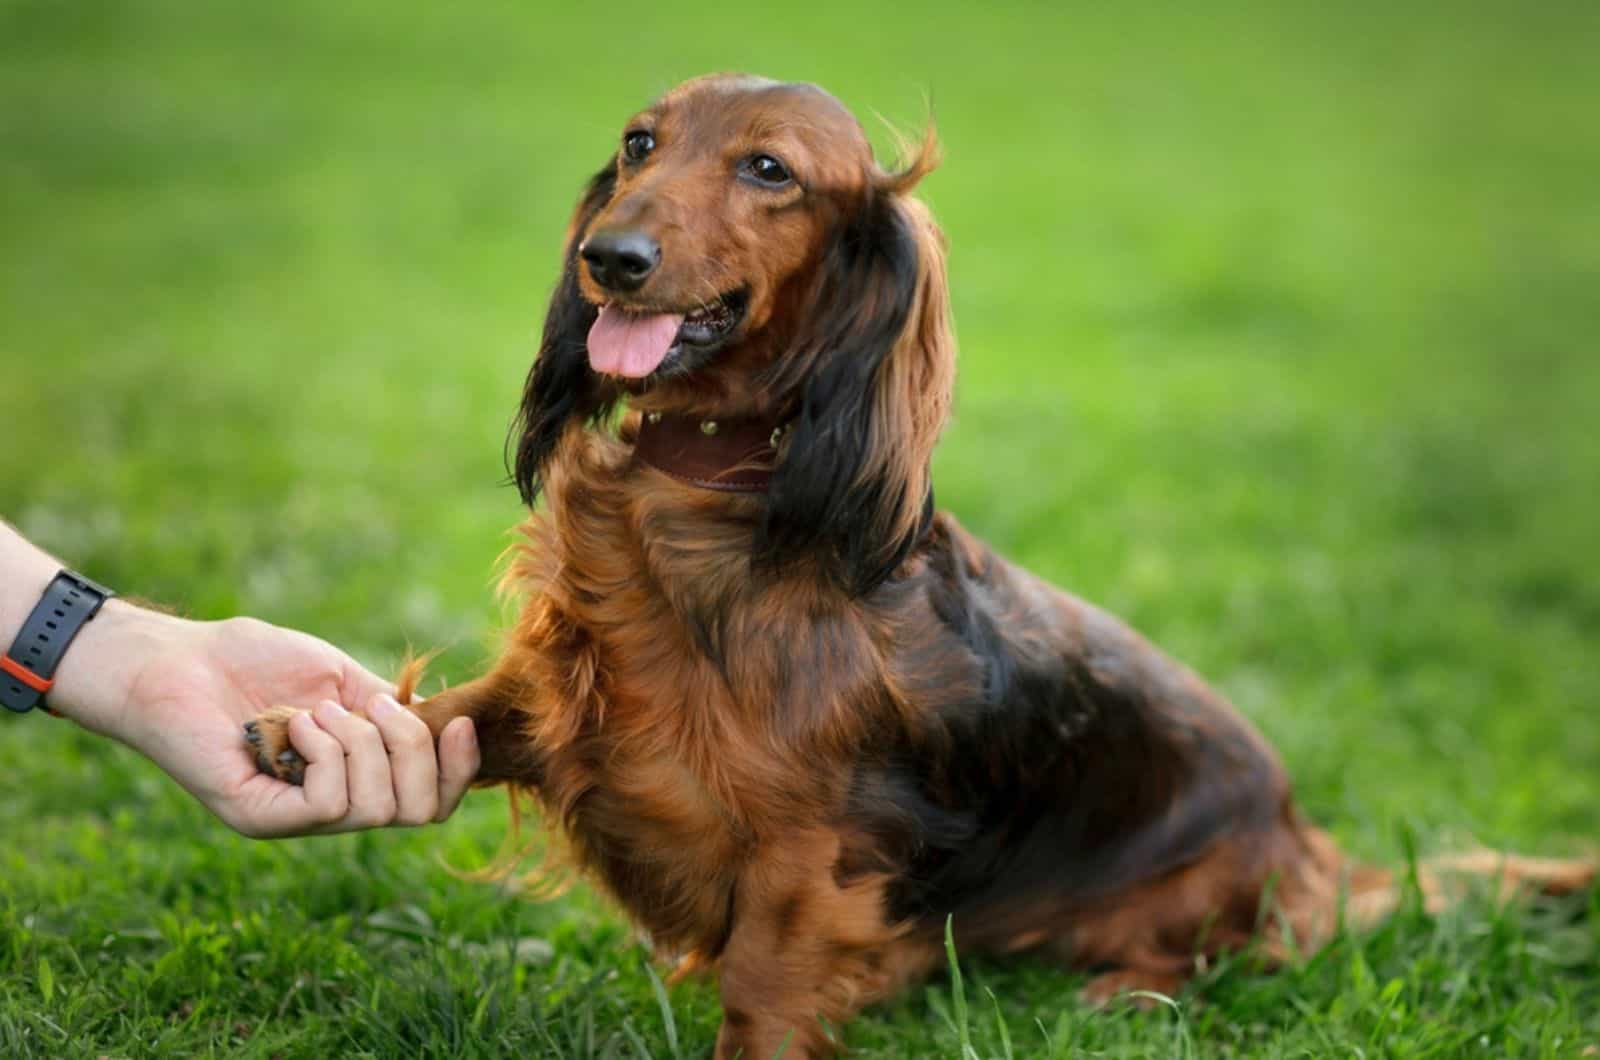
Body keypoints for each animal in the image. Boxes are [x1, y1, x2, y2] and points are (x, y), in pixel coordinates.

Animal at [246, 72, 1587, 1056]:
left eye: (770, 169)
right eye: (638, 143)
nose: (608, 258)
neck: (705, 495)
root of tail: (1313, 841)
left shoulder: (807, 868)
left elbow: (765, 995)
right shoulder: (580, 707)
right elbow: (458, 710)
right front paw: (303, 733)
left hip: (1209, 892)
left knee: (1228, 953)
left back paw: (1123, 993)